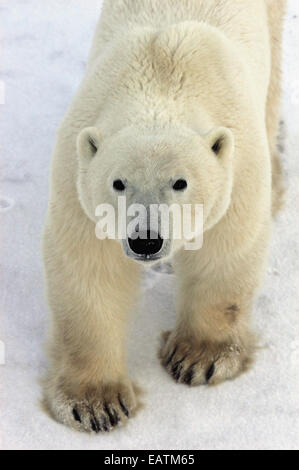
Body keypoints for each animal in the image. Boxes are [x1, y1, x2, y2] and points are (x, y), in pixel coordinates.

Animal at [43, 0, 288, 434]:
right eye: (118, 182)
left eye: (180, 182)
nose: (146, 239)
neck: (161, 81)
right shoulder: (78, 172)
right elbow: (89, 269)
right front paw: (96, 404)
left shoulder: (235, 164)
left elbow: (224, 252)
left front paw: (199, 358)